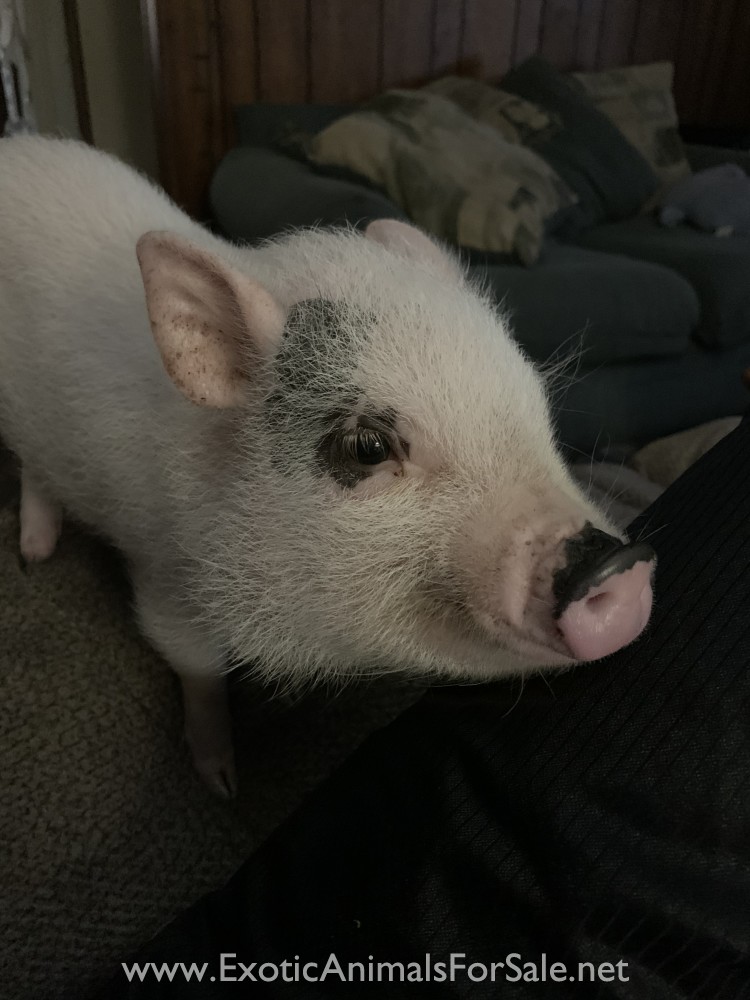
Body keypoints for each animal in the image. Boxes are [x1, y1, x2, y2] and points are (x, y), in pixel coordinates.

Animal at [0, 136, 655, 797]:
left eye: (534, 401)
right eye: (367, 447)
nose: (615, 564)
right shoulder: (165, 576)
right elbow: (198, 670)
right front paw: (223, 786)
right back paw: (34, 556)